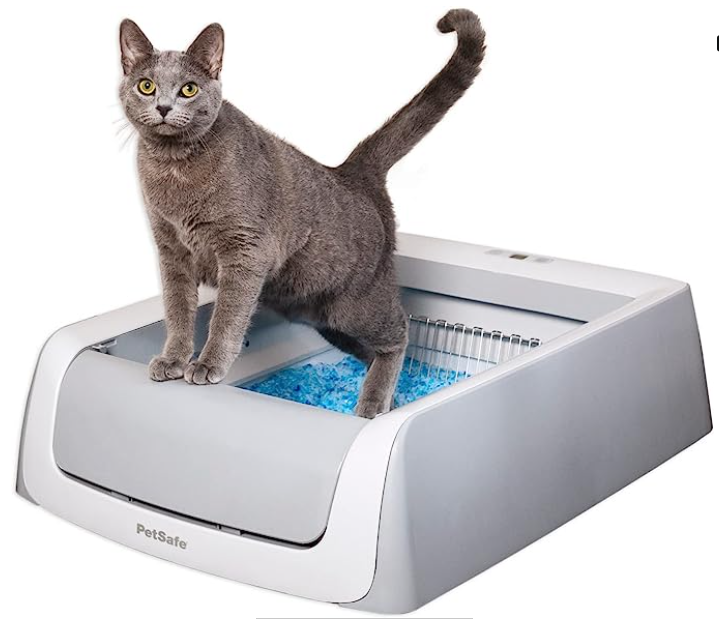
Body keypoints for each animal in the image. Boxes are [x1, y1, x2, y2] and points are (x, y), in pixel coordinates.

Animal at [121, 9, 486, 418]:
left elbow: (228, 315)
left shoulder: (245, 249)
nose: (163, 107)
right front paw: (173, 360)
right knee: (371, 350)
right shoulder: (171, 252)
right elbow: (178, 312)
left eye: (188, 89)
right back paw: (390, 402)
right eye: (146, 86)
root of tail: (351, 171)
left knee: (399, 333)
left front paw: (207, 365)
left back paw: (372, 404)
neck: (175, 170)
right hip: (321, 316)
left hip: (355, 306)